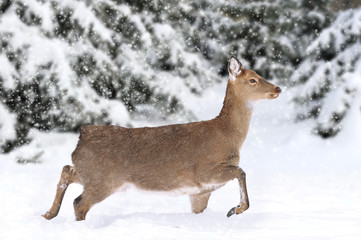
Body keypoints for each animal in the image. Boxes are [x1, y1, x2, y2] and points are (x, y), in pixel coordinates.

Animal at [43, 56, 282, 221]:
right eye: (253, 79)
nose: (278, 88)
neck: (226, 135)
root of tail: (82, 136)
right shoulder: (204, 170)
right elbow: (241, 171)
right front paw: (235, 209)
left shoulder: (200, 191)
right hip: (104, 179)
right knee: (79, 202)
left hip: (92, 173)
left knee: (67, 170)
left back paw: (48, 214)